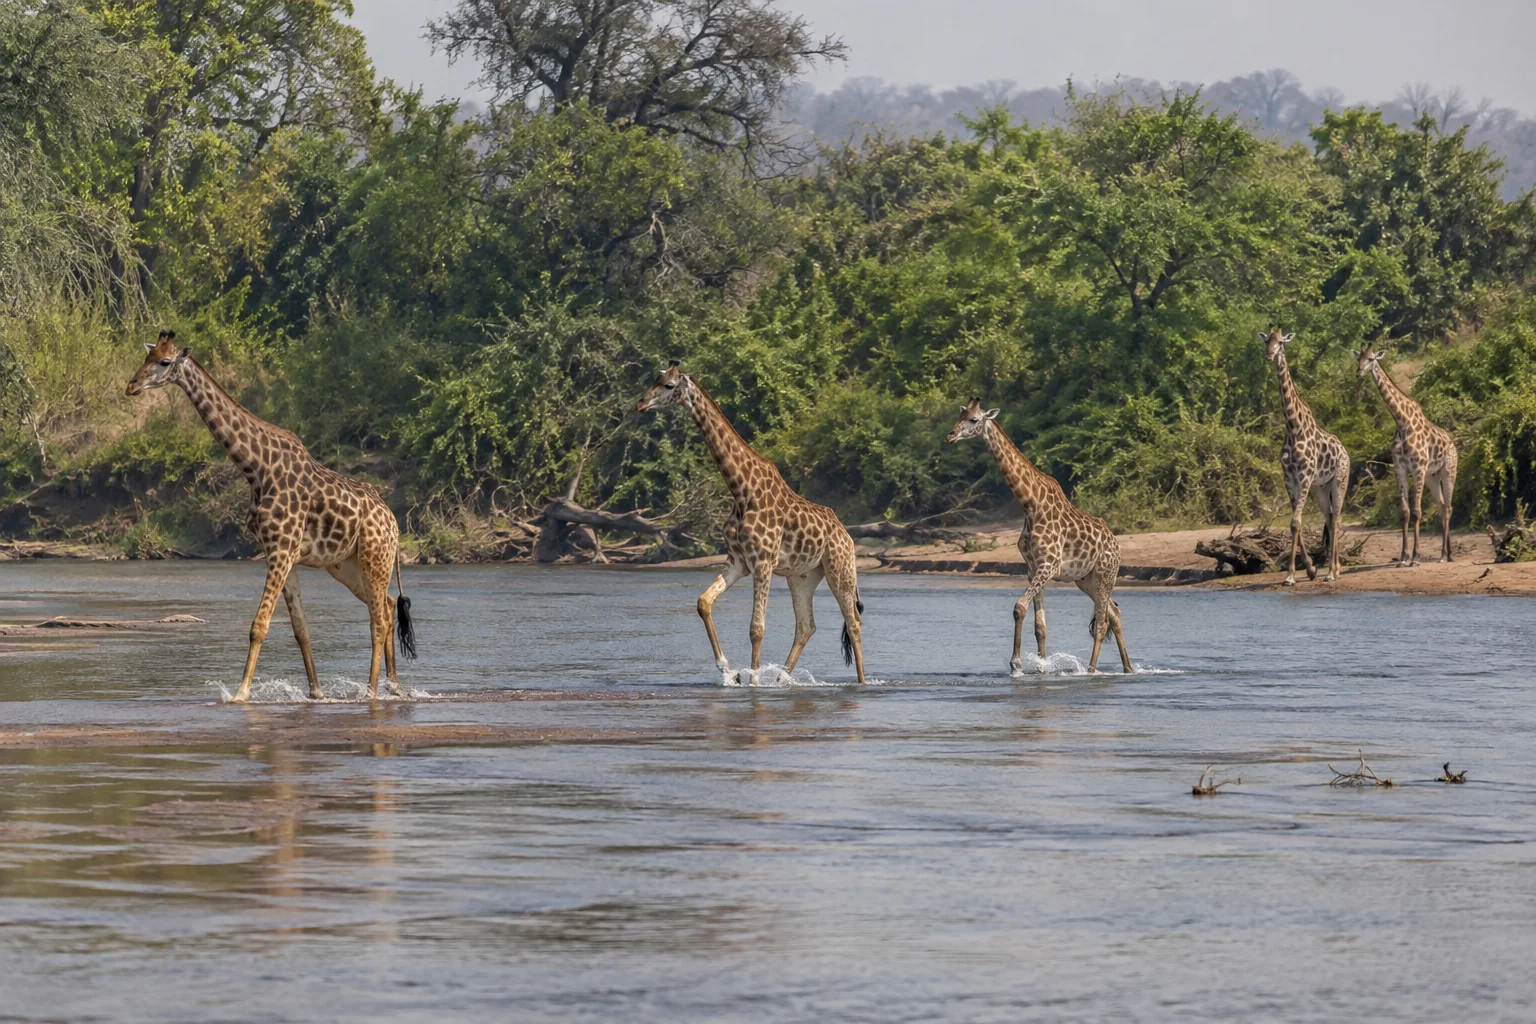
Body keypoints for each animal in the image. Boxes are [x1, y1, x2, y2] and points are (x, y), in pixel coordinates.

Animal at [127, 330, 416, 701]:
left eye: (164, 362)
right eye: (145, 358)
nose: (132, 385)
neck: (256, 468)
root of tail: (393, 522)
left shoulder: (281, 549)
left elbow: (259, 625)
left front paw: (241, 693)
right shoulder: (282, 553)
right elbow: (300, 629)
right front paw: (316, 693)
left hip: (373, 557)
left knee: (378, 618)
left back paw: (371, 691)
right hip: (345, 565)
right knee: (388, 604)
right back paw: (395, 688)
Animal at [635, 361, 866, 684]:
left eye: (669, 385)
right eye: (655, 379)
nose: (640, 403)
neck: (741, 489)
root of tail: (847, 535)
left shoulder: (763, 562)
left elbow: (756, 628)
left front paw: (754, 682)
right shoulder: (738, 560)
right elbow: (703, 602)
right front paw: (730, 671)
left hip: (840, 569)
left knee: (853, 622)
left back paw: (861, 682)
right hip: (803, 575)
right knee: (806, 625)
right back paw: (782, 680)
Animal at [946, 398, 1132, 674]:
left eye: (974, 419)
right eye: (960, 415)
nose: (950, 435)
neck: (1030, 504)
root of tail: (1116, 544)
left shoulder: (1049, 565)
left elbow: (1019, 607)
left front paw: (1016, 664)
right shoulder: (1033, 567)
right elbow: (1040, 626)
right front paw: (1041, 667)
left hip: (1105, 574)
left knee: (1101, 622)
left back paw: (1090, 670)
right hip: (1086, 580)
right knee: (1114, 614)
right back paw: (1128, 668)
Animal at [1262, 328, 1350, 585]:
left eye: (1281, 342)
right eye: (1266, 340)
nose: (1269, 355)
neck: (1293, 426)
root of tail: (1346, 452)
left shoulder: (1305, 476)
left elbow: (1295, 522)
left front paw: (1292, 575)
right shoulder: (1289, 479)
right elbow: (1295, 523)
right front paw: (1309, 569)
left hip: (1339, 480)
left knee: (1337, 517)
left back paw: (1332, 572)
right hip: (1321, 488)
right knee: (1329, 518)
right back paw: (1335, 569)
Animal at [1357, 343, 1458, 565]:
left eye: (1371, 359)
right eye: (1358, 358)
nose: (1358, 372)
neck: (1401, 422)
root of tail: (1453, 444)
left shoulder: (1418, 467)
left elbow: (1417, 512)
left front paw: (1415, 556)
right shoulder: (1400, 467)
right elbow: (1404, 512)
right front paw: (1403, 557)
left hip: (1449, 471)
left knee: (1448, 507)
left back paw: (1446, 555)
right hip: (1432, 476)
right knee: (1441, 506)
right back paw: (1445, 554)